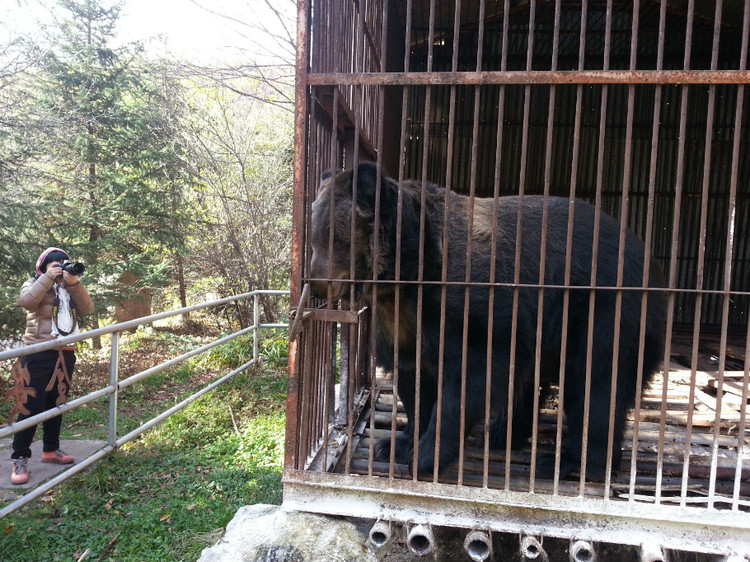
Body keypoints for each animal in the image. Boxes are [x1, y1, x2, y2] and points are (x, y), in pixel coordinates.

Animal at [308, 160, 668, 480]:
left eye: (333, 236)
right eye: (314, 236)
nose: (315, 283)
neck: (406, 278)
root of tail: (649, 258)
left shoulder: (469, 306)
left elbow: (471, 377)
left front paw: (425, 457)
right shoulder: (401, 324)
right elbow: (414, 382)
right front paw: (396, 444)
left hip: (603, 309)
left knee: (597, 384)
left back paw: (569, 462)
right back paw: (501, 435)